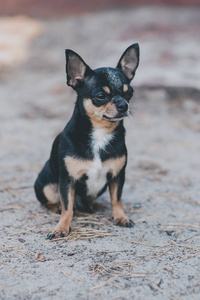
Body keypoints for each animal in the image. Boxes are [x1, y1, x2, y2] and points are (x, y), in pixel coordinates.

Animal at [34, 44, 140, 239]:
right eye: (100, 95)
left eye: (129, 92)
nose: (124, 105)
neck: (100, 133)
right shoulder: (67, 181)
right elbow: (67, 207)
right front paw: (61, 227)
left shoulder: (118, 176)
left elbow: (117, 199)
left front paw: (121, 217)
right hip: (46, 186)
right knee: (55, 202)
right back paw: (57, 207)